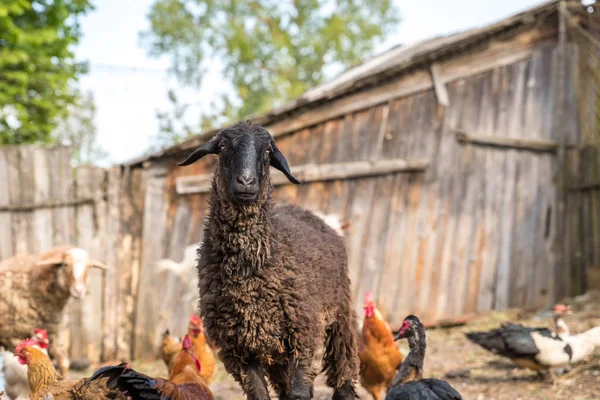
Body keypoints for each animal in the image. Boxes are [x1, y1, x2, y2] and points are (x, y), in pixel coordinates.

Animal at [0, 245, 108, 376]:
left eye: (89, 266)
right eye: (65, 264)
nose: (79, 291)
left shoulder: (54, 333)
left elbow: (64, 364)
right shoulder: (13, 335)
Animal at [176, 122, 358, 400]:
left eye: (268, 150)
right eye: (223, 146)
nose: (246, 181)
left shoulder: (302, 334)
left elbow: (299, 393)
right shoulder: (240, 350)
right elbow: (261, 395)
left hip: (339, 313)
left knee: (343, 365)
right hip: (275, 348)